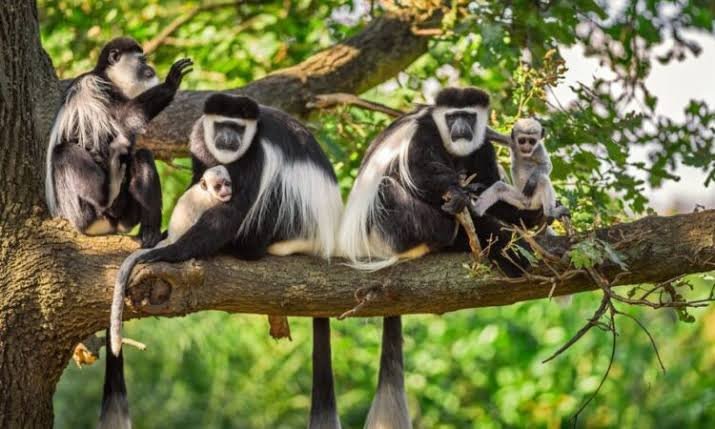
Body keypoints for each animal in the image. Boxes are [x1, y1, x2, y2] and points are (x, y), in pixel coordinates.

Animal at [45, 37, 193, 248]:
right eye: (142, 60)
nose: (151, 68)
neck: (109, 77)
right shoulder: (96, 87)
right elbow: (125, 118)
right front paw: (171, 82)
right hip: (80, 211)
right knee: (64, 151)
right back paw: (106, 196)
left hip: (126, 216)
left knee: (142, 156)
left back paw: (150, 233)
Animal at [339, 87, 547, 429]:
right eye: (452, 117)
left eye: (469, 116)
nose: (460, 128)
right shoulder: (423, 134)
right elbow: (422, 172)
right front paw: (462, 197)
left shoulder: (482, 146)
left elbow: (489, 182)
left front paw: (524, 213)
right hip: (388, 229)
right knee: (390, 189)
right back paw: (461, 233)